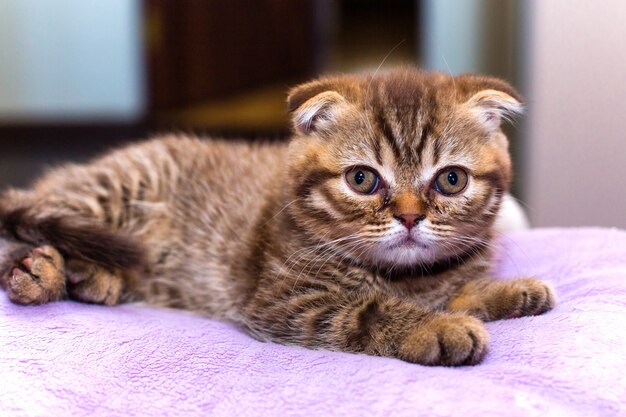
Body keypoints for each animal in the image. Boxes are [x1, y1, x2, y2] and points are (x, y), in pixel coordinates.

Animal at [1, 67, 556, 364]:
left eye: (451, 180)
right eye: (362, 179)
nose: (409, 217)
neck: (405, 275)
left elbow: (456, 290)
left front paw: (510, 291)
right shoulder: (283, 302)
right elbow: (367, 312)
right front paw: (439, 329)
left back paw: (92, 277)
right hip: (111, 191)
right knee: (26, 220)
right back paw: (41, 272)